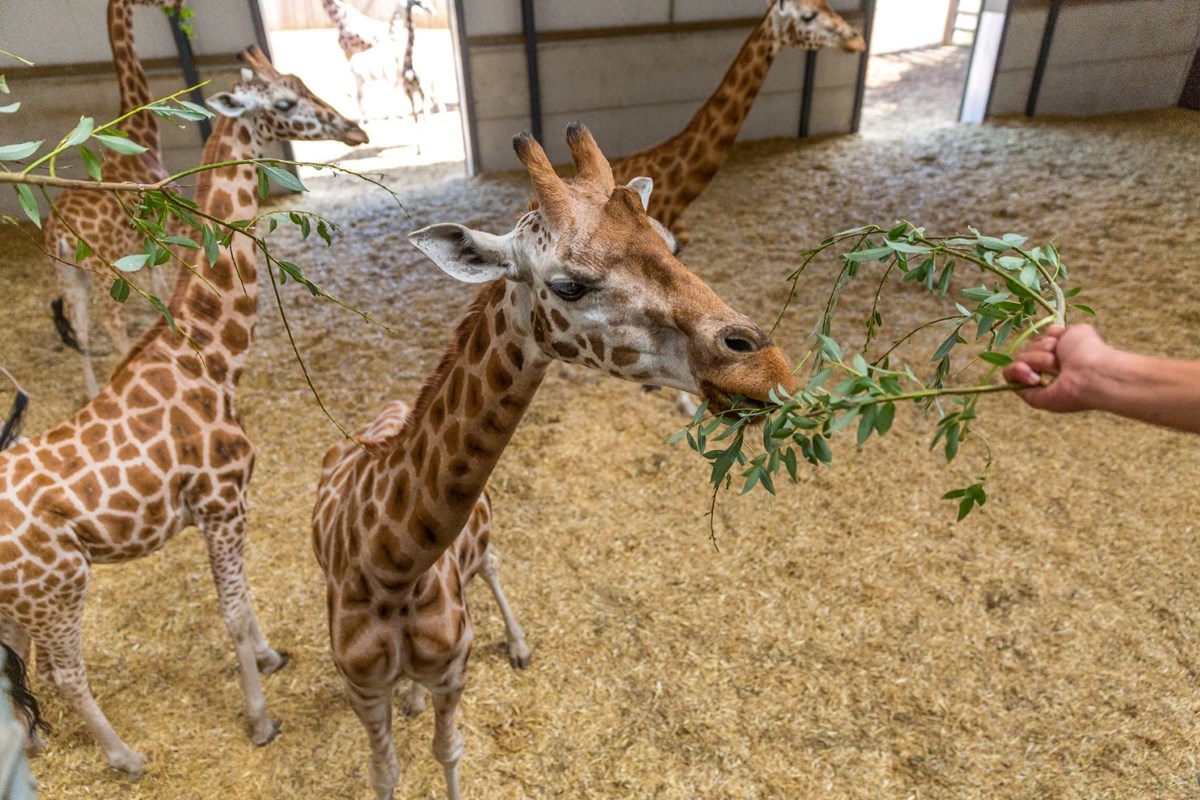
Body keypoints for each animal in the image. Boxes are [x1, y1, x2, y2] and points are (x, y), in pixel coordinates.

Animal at [0, 47, 367, 777]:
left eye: (301, 83)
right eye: (284, 103)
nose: (354, 128)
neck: (213, 357)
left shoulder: (220, 509)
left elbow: (244, 601)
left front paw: (271, 657)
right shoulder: (222, 502)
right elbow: (231, 613)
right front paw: (260, 719)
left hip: (17, 603)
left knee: (14, 670)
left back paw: (35, 742)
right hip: (59, 588)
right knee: (61, 672)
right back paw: (125, 757)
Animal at [48, 0, 187, 398]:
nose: (179, 5)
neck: (143, 138)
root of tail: (57, 235)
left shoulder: (146, 241)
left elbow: (158, 286)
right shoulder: (166, 222)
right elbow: (164, 283)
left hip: (70, 275)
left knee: (79, 328)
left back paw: (94, 392)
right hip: (104, 268)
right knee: (111, 322)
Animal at [312, 120, 796, 800]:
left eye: (671, 244)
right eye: (569, 284)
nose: (767, 370)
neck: (390, 568)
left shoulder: (453, 671)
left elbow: (448, 750)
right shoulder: (361, 688)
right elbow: (386, 773)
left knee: (490, 565)